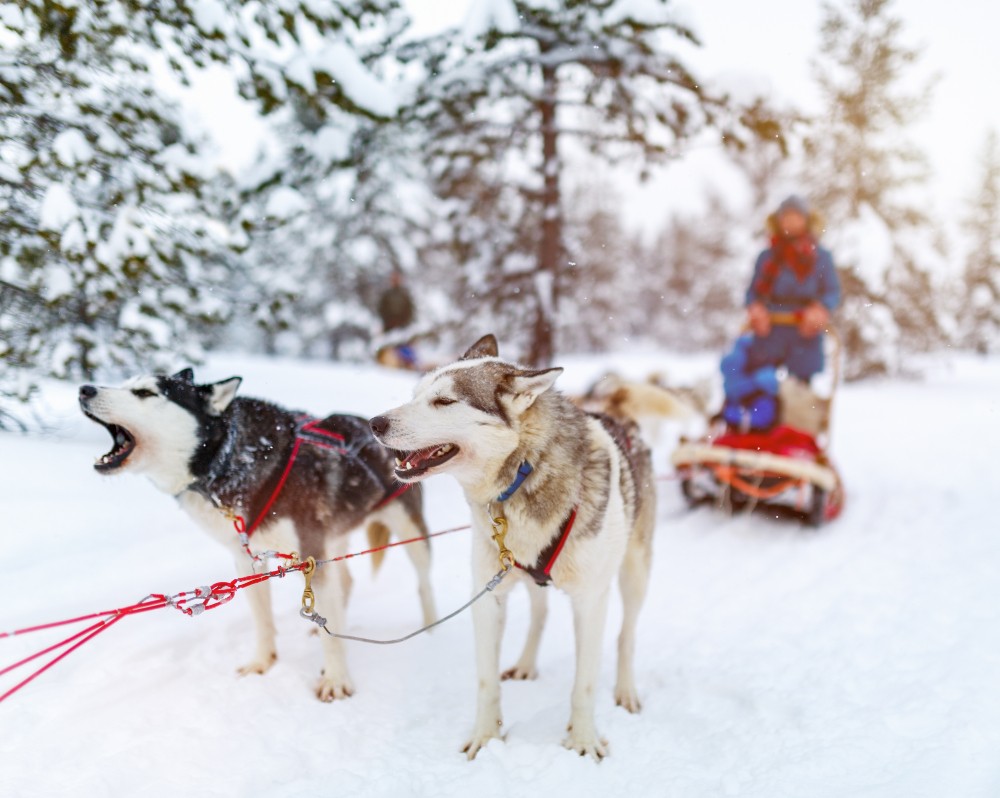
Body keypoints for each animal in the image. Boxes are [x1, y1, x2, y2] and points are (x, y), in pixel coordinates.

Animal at [78, 368, 438, 700]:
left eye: (145, 393)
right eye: (125, 384)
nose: (84, 389)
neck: (230, 458)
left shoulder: (310, 556)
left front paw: (336, 679)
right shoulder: (247, 559)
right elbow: (262, 620)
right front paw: (262, 663)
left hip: (410, 532)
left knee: (422, 583)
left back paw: (430, 629)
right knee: (345, 584)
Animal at [368, 336, 656, 764]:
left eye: (444, 401)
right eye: (415, 394)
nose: (375, 423)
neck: (525, 472)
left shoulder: (591, 600)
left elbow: (584, 685)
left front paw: (584, 740)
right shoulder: (488, 597)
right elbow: (487, 681)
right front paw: (486, 738)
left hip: (634, 574)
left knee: (627, 636)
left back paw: (625, 690)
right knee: (540, 613)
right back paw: (524, 664)